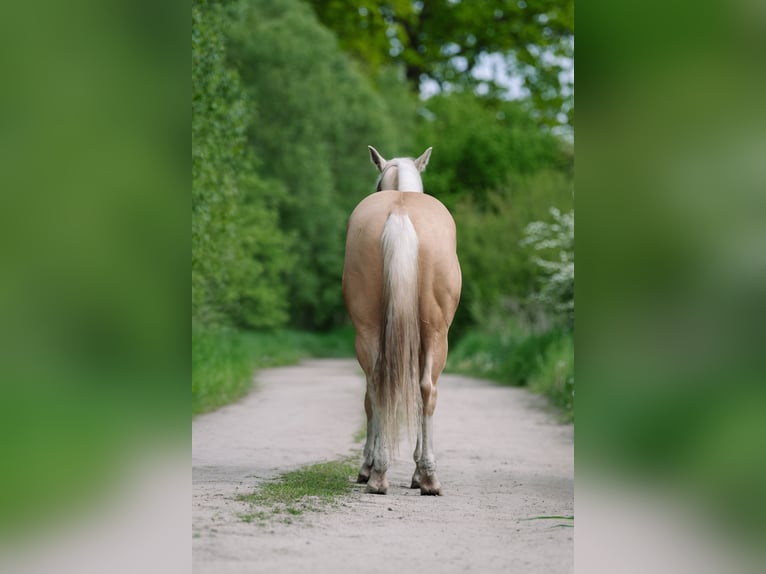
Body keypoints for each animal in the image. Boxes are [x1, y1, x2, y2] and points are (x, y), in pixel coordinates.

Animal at [342, 145, 462, 495]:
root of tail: (400, 214)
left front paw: (368, 466)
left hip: (369, 331)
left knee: (378, 385)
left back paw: (379, 474)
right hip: (436, 333)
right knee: (425, 390)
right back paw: (427, 477)